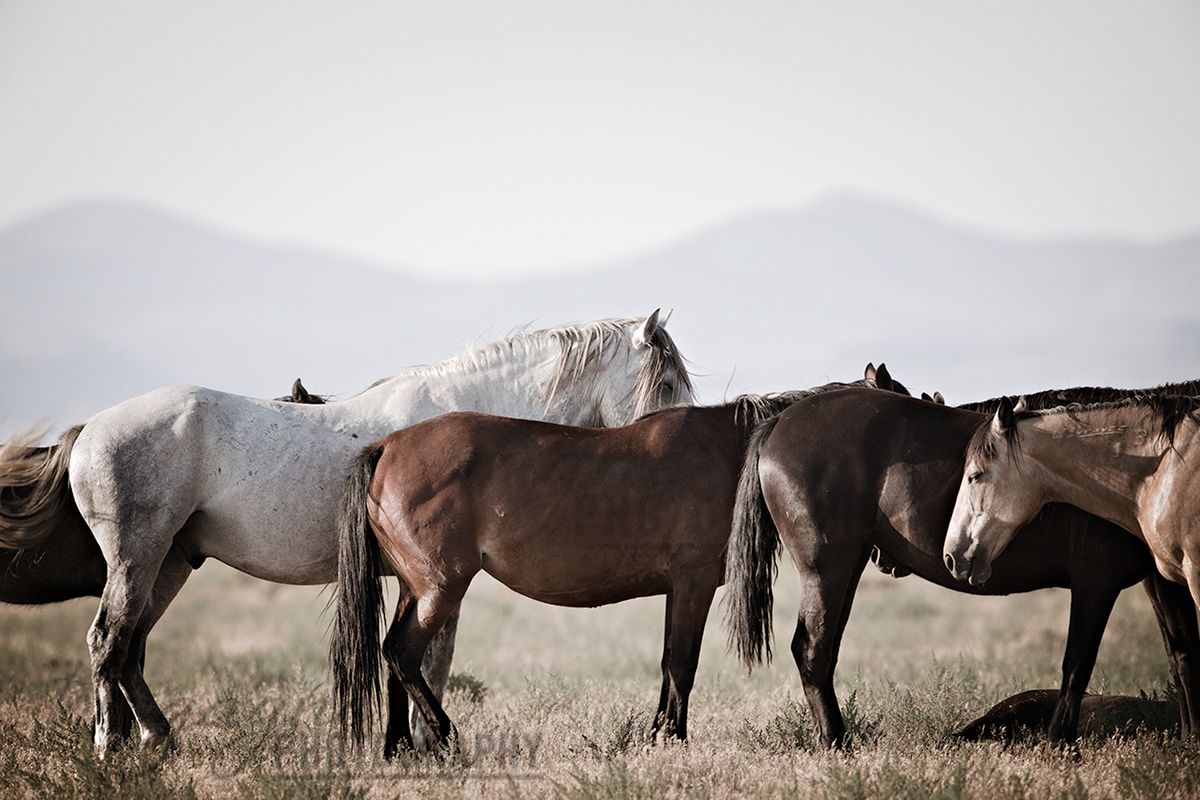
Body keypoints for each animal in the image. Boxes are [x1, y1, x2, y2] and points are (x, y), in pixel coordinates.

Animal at [0, 311, 696, 758]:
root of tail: (91, 429)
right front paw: (428, 744)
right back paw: (109, 746)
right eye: (665, 381)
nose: (680, 440)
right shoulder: (440, 584)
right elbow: (430, 661)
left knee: (131, 647)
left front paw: (408, 746)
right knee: (107, 642)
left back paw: (154, 739)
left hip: (169, 562)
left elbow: (413, 663)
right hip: (137, 556)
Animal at [328, 369, 907, 758]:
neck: (737, 449)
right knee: (401, 652)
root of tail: (387, 446)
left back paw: (399, 748)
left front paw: (658, 736)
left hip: (415, 587)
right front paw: (675, 740)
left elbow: (669, 664)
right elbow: (683, 664)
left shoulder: (679, 589)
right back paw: (445, 736)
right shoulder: (694, 584)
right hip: (440, 587)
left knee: (394, 659)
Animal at [720, 383, 1200, 748]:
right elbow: (1077, 665)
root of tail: (781, 421)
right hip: (825, 571)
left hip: (845, 569)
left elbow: (1182, 655)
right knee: (812, 650)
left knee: (824, 650)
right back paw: (838, 745)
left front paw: (1191, 739)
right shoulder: (1096, 583)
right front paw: (1060, 746)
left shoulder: (1162, 577)